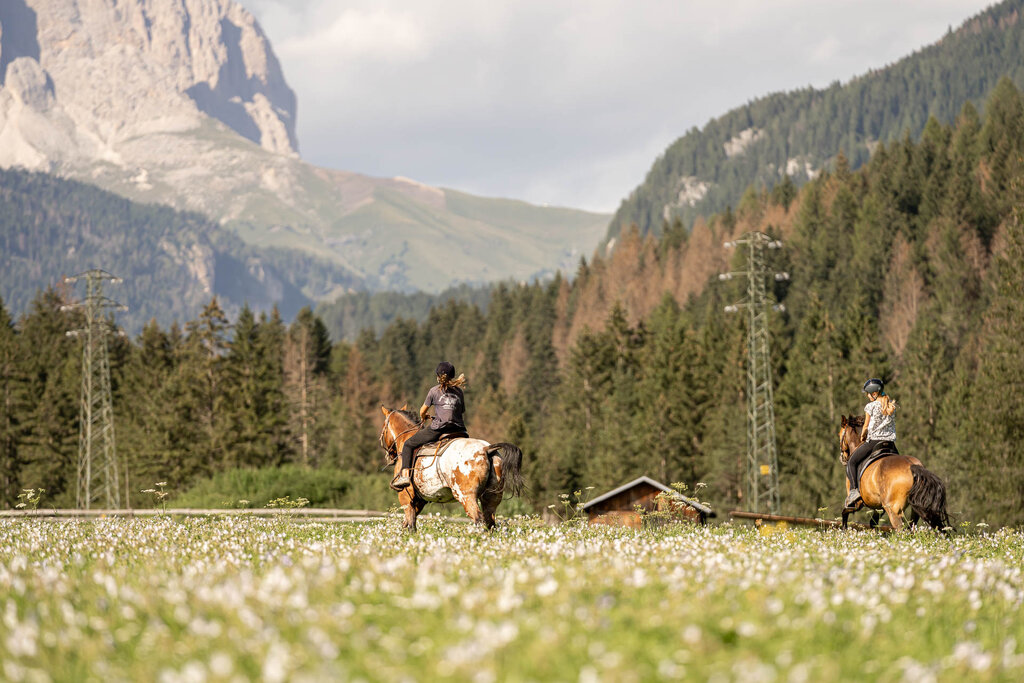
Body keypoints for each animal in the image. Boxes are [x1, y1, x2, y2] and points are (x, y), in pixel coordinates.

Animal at [379, 406, 524, 531]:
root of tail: (486, 449)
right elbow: (406, 524)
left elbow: (410, 526)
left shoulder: (406, 499)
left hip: (466, 497)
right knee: (490, 523)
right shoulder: (419, 501)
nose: (389, 455)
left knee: (479, 520)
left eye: (384, 426)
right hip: (491, 499)